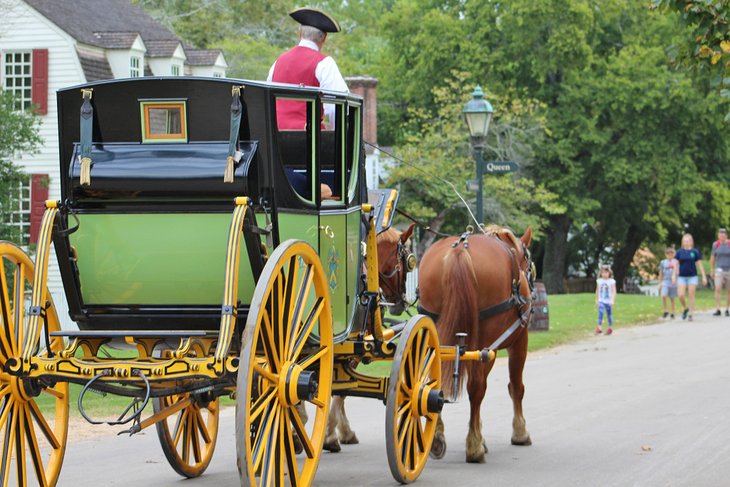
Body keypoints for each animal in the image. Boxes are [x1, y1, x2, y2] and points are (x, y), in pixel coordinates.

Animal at [416, 227, 536, 464]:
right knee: (477, 387)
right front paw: (519, 432)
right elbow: (516, 387)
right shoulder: (518, 341)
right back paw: (474, 447)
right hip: (486, 343)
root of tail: (460, 249)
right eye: (527, 260)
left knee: (436, 382)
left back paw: (437, 438)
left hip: (438, 330)